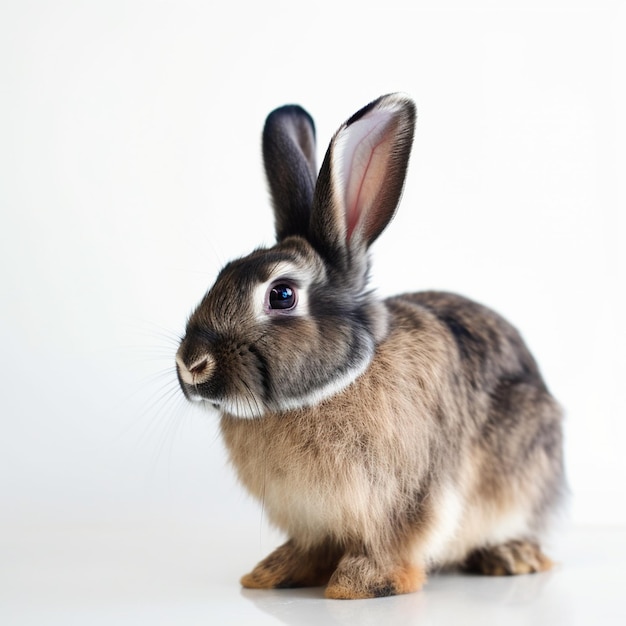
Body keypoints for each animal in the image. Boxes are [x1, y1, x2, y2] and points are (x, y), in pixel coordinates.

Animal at [174, 91, 560, 596]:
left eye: (282, 295)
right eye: (223, 274)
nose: (190, 364)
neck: (330, 387)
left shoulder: (410, 498)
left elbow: (391, 548)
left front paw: (357, 584)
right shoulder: (312, 519)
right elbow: (310, 548)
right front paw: (273, 573)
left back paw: (510, 556)